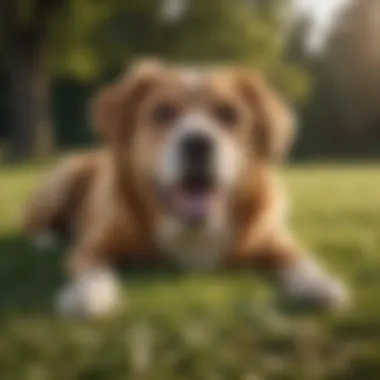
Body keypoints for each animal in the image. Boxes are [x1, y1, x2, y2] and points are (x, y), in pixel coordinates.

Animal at [23, 60, 348, 318]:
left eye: (228, 113)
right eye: (162, 112)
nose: (198, 144)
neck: (193, 230)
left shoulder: (271, 237)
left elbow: (299, 259)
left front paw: (318, 283)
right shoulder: (94, 245)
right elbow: (92, 268)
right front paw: (87, 295)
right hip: (61, 180)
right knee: (36, 225)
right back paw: (47, 239)